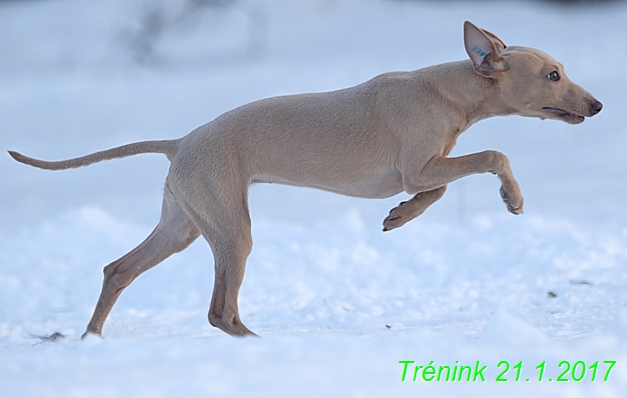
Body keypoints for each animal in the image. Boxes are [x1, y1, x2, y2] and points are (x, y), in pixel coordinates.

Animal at [7, 21, 600, 338]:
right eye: (553, 75)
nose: (597, 106)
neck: (446, 88)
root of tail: (181, 142)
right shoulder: (419, 164)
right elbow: (492, 155)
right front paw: (512, 198)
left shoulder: (423, 169)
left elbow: (434, 192)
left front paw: (399, 216)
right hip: (230, 229)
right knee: (219, 310)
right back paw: (256, 342)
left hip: (184, 224)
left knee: (118, 270)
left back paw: (91, 339)